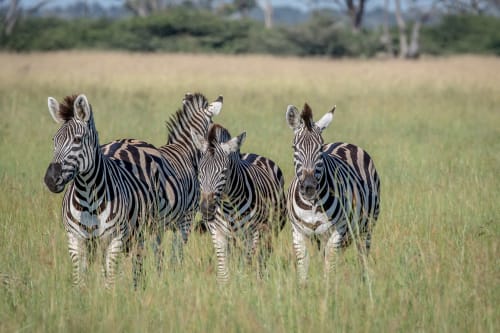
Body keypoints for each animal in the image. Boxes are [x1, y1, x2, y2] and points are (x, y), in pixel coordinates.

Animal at [43, 93, 163, 286]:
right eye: (54, 141)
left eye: (77, 139)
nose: (50, 180)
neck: (87, 196)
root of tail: (129, 139)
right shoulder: (75, 240)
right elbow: (79, 280)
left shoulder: (115, 239)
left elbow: (111, 280)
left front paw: (112, 294)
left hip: (146, 229)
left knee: (139, 263)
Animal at [191, 123, 286, 282]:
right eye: (199, 171)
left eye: (224, 172)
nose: (206, 209)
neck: (229, 206)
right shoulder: (217, 232)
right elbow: (223, 270)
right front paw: (226, 286)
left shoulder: (253, 232)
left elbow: (247, 265)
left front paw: (245, 284)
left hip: (271, 230)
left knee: (262, 257)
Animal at [284, 103, 380, 282]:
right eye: (295, 148)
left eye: (320, 148)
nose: (309, 187)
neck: (312, 204)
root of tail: (345, 143)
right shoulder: (298, 233)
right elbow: (303, 268)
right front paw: (303, 288)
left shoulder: (337, 232)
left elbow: (330, 268)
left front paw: (328, 289)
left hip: (366, 227)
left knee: (362, 257)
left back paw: (364, 282)